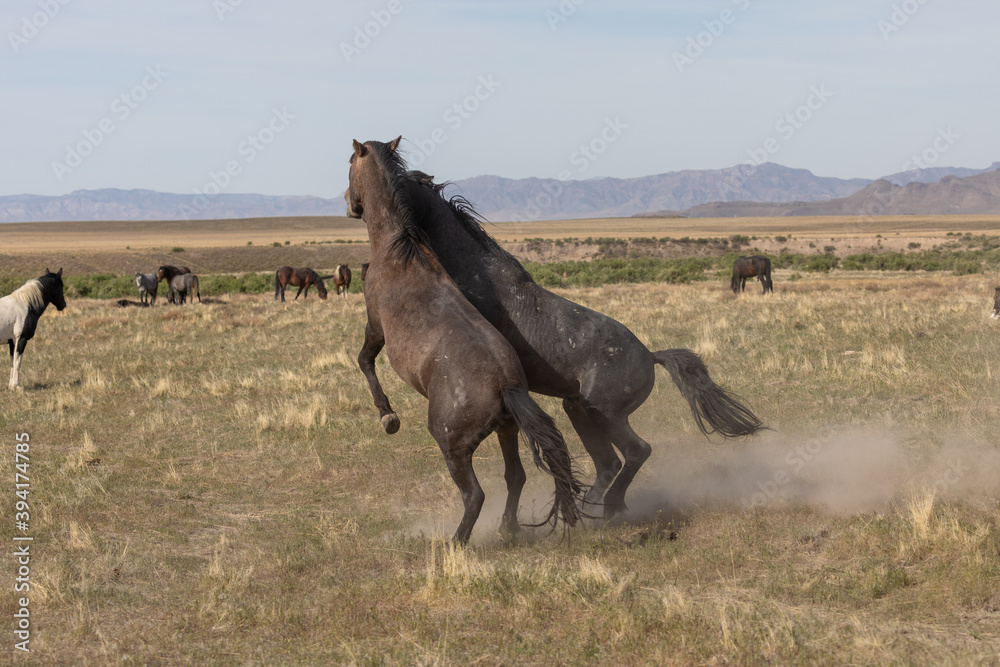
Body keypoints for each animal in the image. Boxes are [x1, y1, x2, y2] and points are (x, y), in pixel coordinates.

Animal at [347, 137, 583, 544]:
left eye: (349, 164)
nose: (349, 202)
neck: (397, 247)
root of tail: (507, 386)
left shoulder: (375, 325)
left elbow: (365, 361)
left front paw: (388, 417)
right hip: (506, 430)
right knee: (515, 476)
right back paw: (507, 528)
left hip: (451, 445)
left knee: (475, 494)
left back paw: (456, 542)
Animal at [396, 166, 764, 518]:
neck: (475, 272)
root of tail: (650, 356)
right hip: (578, 410)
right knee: (609, 463)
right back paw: (589, 512)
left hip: (605, 413)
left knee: (636, 452)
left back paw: (610, 507)